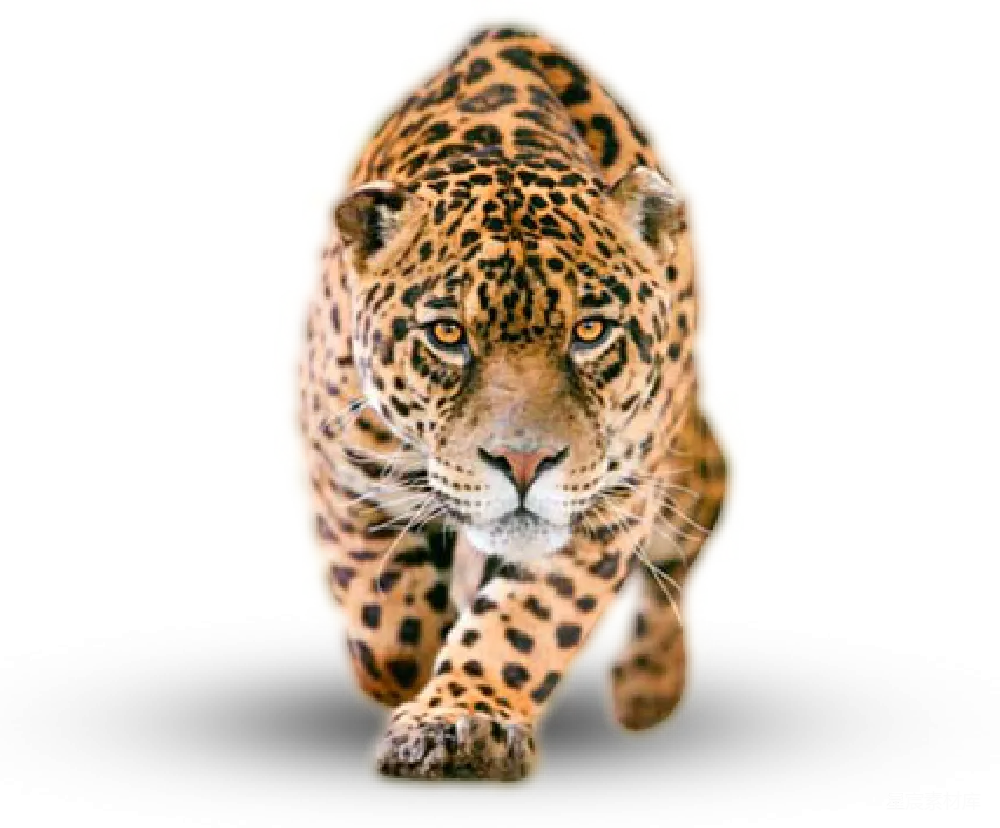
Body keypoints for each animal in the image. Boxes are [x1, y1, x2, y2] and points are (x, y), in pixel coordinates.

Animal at [286, 14, 737, 787]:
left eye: (590, 332)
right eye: (447, 334)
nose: (524, 465)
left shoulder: (607, 509)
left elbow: (525, 624)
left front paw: (462, 720)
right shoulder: (348, 477)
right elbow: (389, 626)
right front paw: (417, 684)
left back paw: (648, 686)